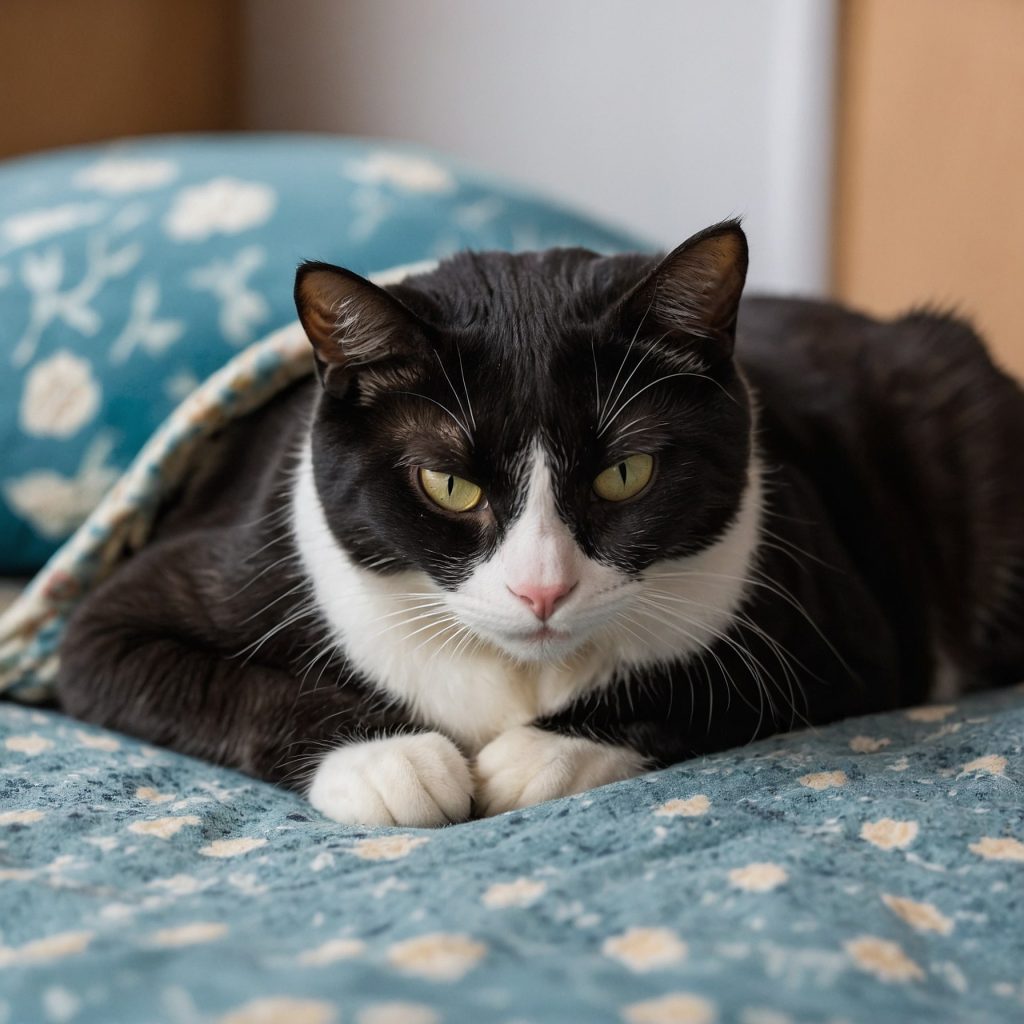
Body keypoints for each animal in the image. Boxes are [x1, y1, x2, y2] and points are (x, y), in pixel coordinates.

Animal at [56, 220, 1024, 827]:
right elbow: (191, 675)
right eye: (448, 484)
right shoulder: (141, 604)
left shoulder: (839, 629)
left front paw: (533, 756)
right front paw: (393, 761)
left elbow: (708, 680)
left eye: (625, 473)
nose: (542, 589)